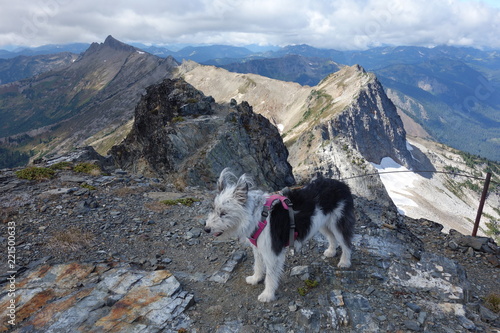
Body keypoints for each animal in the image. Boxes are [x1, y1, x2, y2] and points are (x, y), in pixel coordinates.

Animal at [204, 169, 356, 300]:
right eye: (213, 209)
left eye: (223, 213)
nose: (206, 229)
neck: (257, 216)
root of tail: (342, 184)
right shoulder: (258, 247)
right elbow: (258, 264)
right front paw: (255, 278)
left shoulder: (272, 251)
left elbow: (270, 275)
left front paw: (267, 294)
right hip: (322, 223)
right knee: (332, 237)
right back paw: (331, 251)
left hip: (338, 221)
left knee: (346, 242)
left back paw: (345, 262)